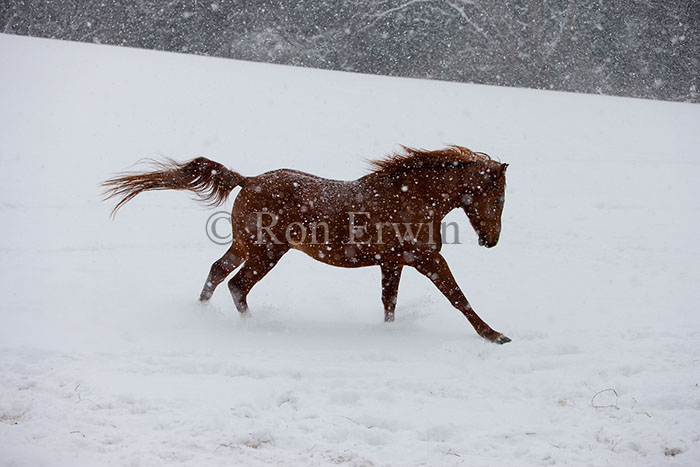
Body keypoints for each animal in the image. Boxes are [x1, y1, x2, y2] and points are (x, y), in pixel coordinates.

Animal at [101, 145, 512, 344]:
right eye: (498, 199)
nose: (491, 241)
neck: (412, 196)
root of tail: (247, 180)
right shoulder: (427, 259)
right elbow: (458, 298)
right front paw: (495, 335)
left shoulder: (392, 262)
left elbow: (389, 303)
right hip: (266, 253)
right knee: (237, 285)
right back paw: (253, 327)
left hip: (244, 246)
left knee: (217, 273)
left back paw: (200, 314)